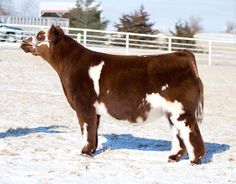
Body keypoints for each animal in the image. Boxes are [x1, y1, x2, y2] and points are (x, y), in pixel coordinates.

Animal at [20, 24, 205, 164]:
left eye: (40, 35)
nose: (23, 41)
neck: (71, 64)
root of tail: (182, 54)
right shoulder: (95, 111)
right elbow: (93, 131)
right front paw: (91, 151)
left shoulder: (84, 105)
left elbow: (86, 128)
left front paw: (84, 152)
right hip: (172, 112)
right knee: (179, 136)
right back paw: (172, 157)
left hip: (182, 110)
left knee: (192, 133)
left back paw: (195, 161)